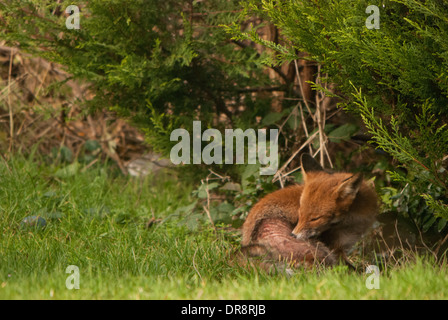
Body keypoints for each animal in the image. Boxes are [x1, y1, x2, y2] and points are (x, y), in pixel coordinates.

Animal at [240, 154, 380, 268]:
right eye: (300, 215)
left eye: (315, 219)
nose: (293, 235)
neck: (352, 221)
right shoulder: (335, 248)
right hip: (321, 252)